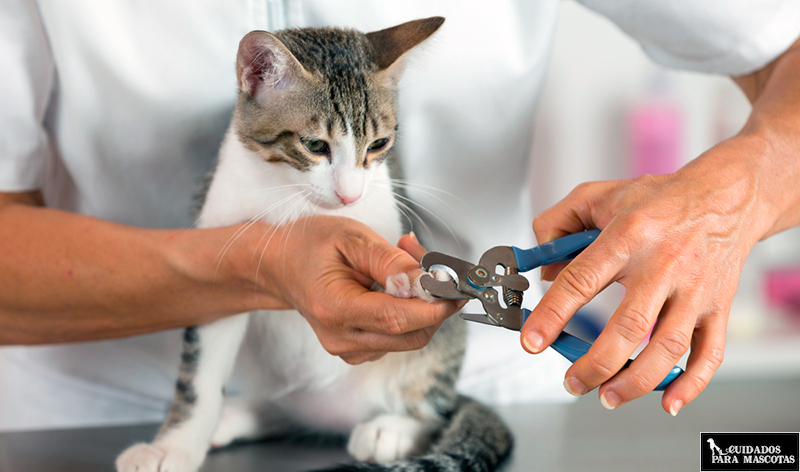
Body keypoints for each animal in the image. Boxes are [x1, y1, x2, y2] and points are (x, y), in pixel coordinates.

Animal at [113, 16, 512, 470]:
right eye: (315, 145)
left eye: (378, 144)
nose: (350, 195)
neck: (294, 198)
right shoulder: (218, 248)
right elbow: (199, 375)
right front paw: (174, 445)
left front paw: (410, 280)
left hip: (433, 361)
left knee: (433, 404)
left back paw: (393, 428)